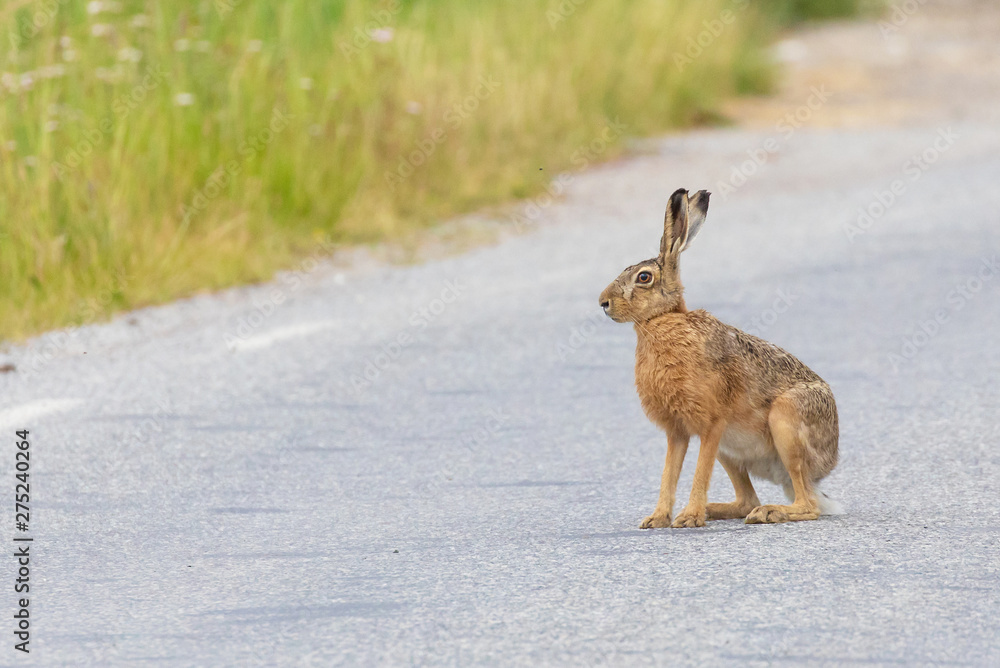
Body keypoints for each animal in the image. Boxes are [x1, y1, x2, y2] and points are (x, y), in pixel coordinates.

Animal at [598, 188, 840, 528]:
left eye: (643, 277)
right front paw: (658, 518)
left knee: (807, 504)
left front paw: (688, 518)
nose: (603, 303)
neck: (663, 321)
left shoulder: (712, 424)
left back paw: (769, 512)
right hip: (731, 449)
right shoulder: (677, 431)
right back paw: (719, 509)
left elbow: (699, 471)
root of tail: (827, 462)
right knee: (748, 499)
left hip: (786, 424)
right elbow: (668, 474)